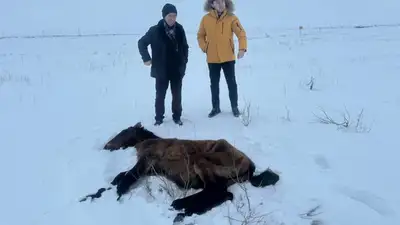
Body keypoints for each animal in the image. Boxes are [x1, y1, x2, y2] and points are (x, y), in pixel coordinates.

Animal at [79, 121, 280, 221]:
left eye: (124, 131)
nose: (106, 145)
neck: (148, 142)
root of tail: (250, 165)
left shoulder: (146, 161)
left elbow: (126, 178)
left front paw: (118, 193)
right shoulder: (149, 169)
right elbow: (118, 179)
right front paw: (90, 196)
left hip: (202, 160)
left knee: (217, 192)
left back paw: (180, 207)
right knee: (222, 194)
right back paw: (185, 209)